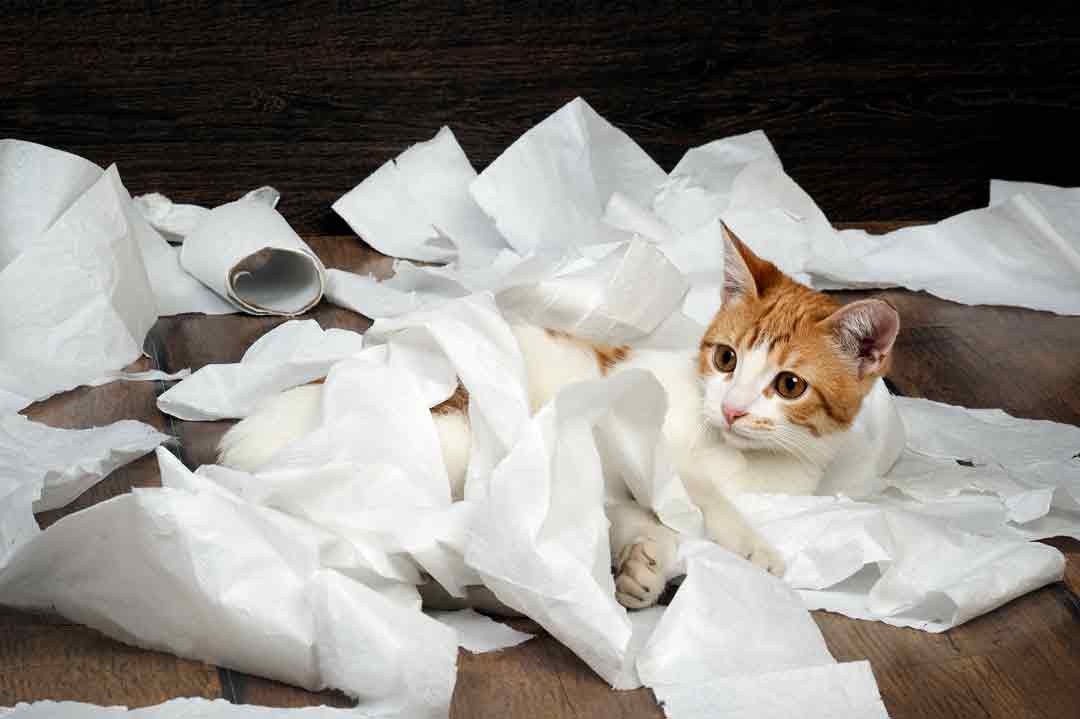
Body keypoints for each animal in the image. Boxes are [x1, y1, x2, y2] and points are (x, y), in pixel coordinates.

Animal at [214, 226, 898, 608]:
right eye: (725, 358)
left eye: (789, 385)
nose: (730, 409)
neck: (745, 463)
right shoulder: (613, 430)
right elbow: (693, 496)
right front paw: (749, 543)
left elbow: (635, 514)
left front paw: (643, 568)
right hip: (454, 435)